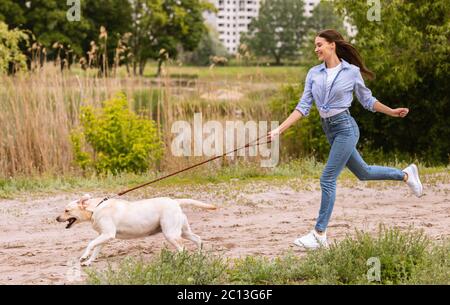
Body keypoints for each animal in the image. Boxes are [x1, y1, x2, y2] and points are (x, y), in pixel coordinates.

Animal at [55, 194, 217, 264]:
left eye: (66, 210)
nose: (56, 218)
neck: (95, 208)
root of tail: (175, 201)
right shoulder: (104, 236)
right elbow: (95, 249)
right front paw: (89, 262)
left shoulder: (108, 234)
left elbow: (90, 244)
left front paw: (83, 257)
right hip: (182, 231)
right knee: (198, 239)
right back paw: (199, 256)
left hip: (170, 234)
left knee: (183, 249)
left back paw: (178, 260)